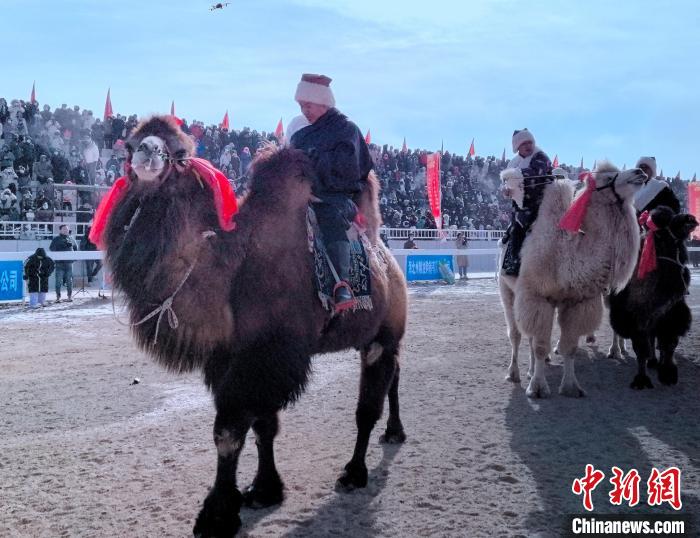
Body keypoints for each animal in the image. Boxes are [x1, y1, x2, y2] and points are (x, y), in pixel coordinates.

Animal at [92, 116, 408, 537]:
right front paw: (263, 490)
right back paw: (394, 432)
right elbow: (263, 427)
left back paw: (355, 472)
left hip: (382, 336)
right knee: (394, 375)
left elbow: (230, 433)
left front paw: (217, 514)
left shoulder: (265, 356)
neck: (230, 267)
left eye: (181, 153)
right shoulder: (234, 356)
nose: (147, 153)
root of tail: (390, 262)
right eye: (129, 145)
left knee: (367, 405)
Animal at [499, 162, 645, 397]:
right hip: (506, 290)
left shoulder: (576, 302)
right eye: (608, 178)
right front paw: (537, 388)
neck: (568, 253)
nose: (640, 172)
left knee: (530, 336)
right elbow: (540, 345)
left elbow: (569, 347)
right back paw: (514, 374)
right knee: (516, 334)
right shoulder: (537, 296)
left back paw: (531, 370)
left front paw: (571, 387)